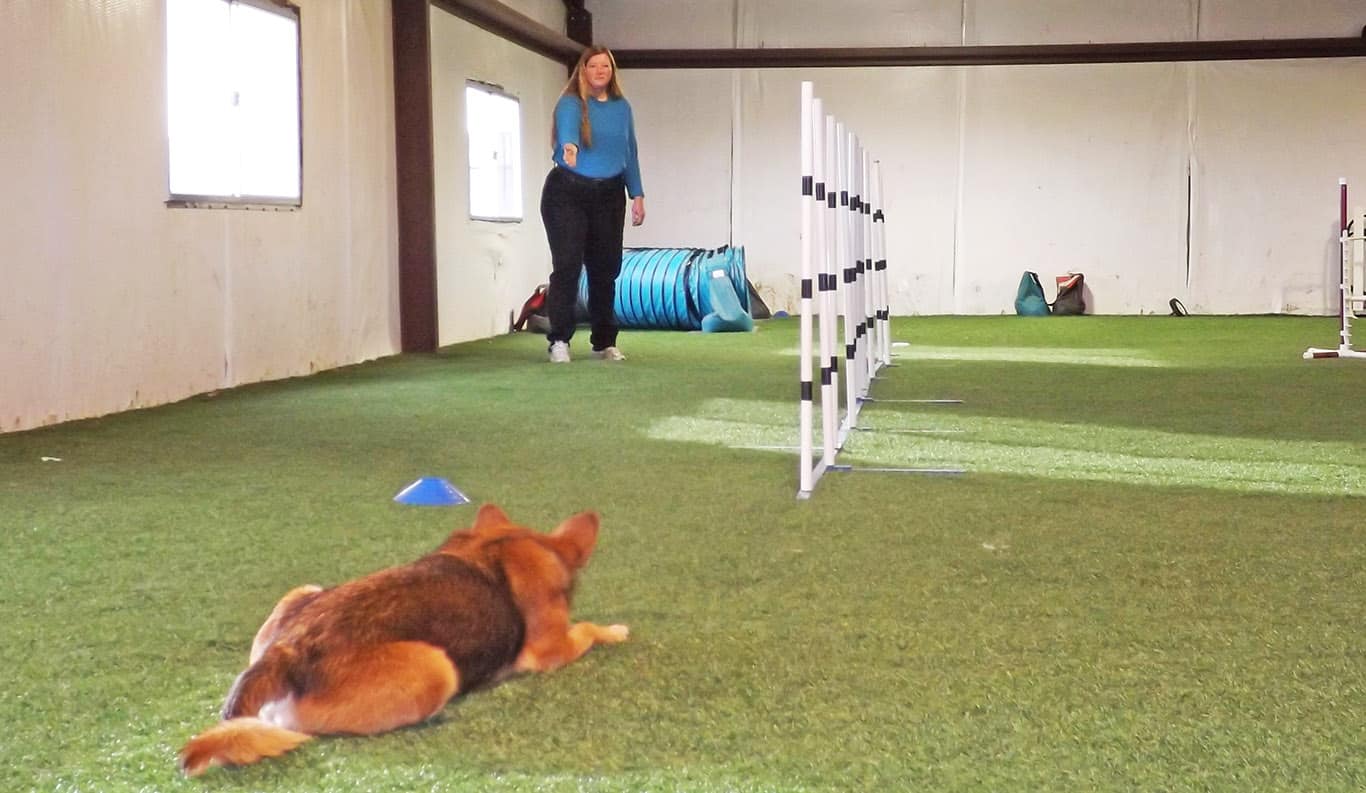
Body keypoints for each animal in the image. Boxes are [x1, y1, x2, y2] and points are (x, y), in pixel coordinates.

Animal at [177, 505, 628, 775]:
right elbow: (587, 629)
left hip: (302, 590)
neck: (501, 542)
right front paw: (615, 630)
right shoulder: (552, 648)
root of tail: (288, 652)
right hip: (435, 666)